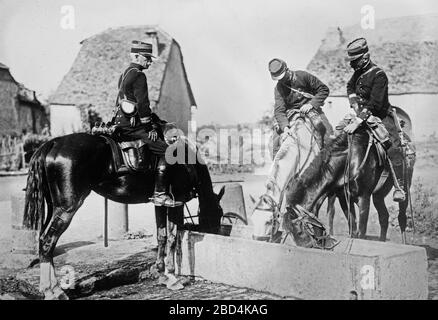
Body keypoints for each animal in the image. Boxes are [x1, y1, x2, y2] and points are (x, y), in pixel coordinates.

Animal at [22, 131, 224, 298]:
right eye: (218, 214)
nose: (215, 231)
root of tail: (53, 143)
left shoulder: (160, 203)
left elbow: (162, 236)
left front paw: (161, 273)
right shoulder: (178, 202)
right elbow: (173, 237)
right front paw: (172, 277)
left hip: (54, 207)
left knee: (44, 241)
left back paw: (51, 288)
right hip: (67, 208)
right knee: (47, 242)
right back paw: (53, 291)